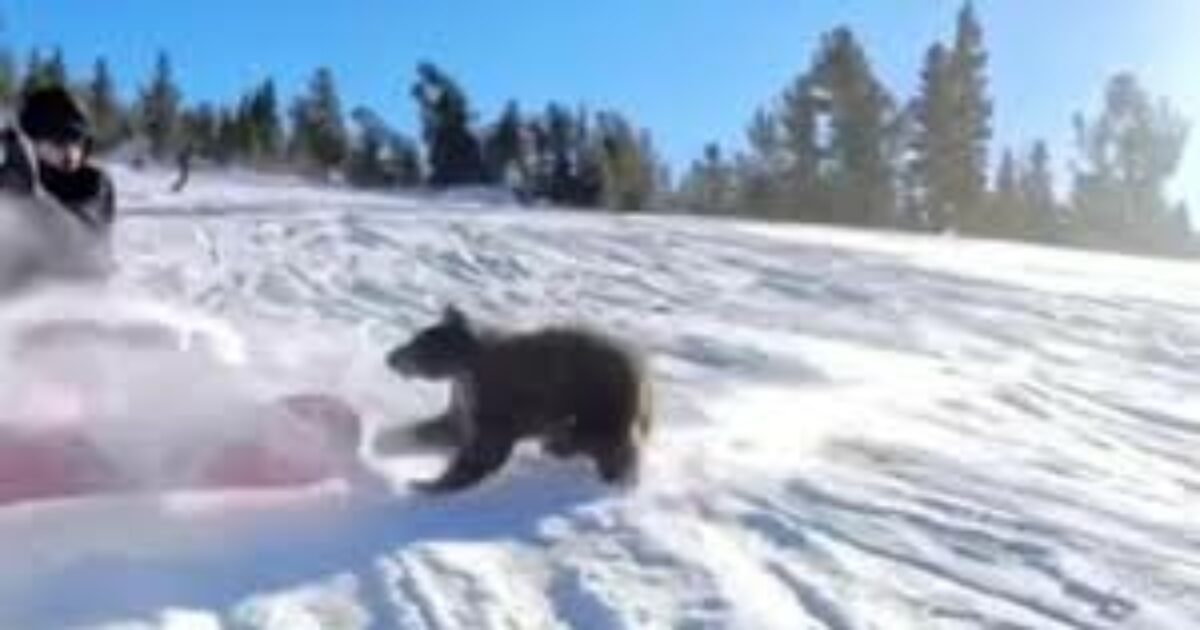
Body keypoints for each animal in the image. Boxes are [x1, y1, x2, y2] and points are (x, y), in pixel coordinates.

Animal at [384, 304, 652, 492]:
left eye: (417, 345)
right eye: (415, 337)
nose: (391, 357)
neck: (465, 368)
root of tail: (641, 372)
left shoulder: (495, 397)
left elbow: (485, 448)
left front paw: (427, 484)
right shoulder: (463, 400)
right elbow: (449, 428)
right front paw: (392, 439)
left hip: (597, 400)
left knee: (604, 445)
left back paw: (617, 480)